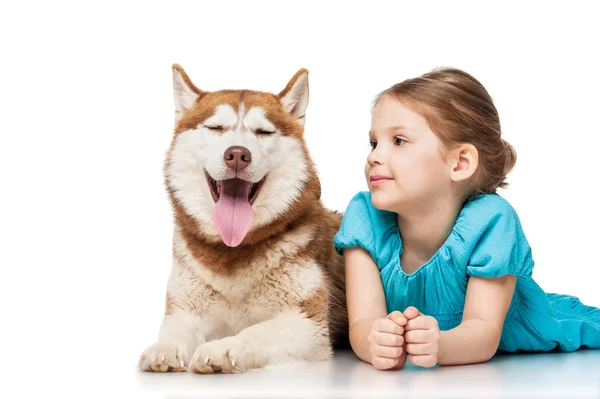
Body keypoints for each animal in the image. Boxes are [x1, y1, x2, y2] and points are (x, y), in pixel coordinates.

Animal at [137, 64, 346, 374]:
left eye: (263, 132)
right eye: (215, 128)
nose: (237, 154)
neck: (232, 252)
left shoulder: (308, 324)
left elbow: (256, 331)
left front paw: (224, 348)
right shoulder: (184, 308)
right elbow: (176, 329)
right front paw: (165, 347)